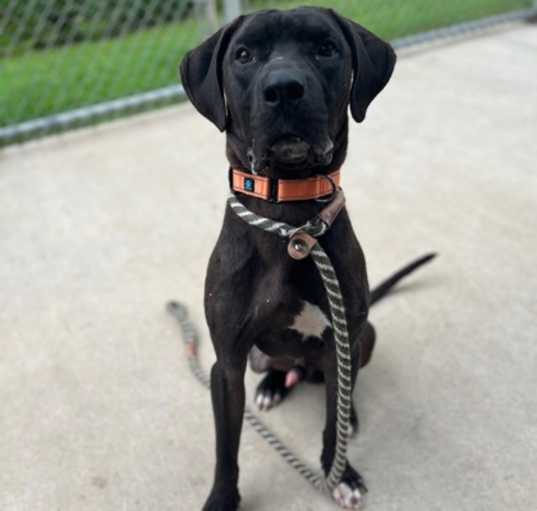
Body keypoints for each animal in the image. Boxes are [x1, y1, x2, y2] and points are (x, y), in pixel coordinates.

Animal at [182, 8, 434, 511]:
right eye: (244, 55)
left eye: (325, 49)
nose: (283, 88)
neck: (291, 221)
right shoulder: (227, 364)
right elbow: (226, 445)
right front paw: (222, 498)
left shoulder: (342, 341)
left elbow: (332, 423)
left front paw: (342, 471)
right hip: (258, 358)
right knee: (279, 367)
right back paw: (271, 386)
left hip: (364, 337)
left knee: (342, 384)